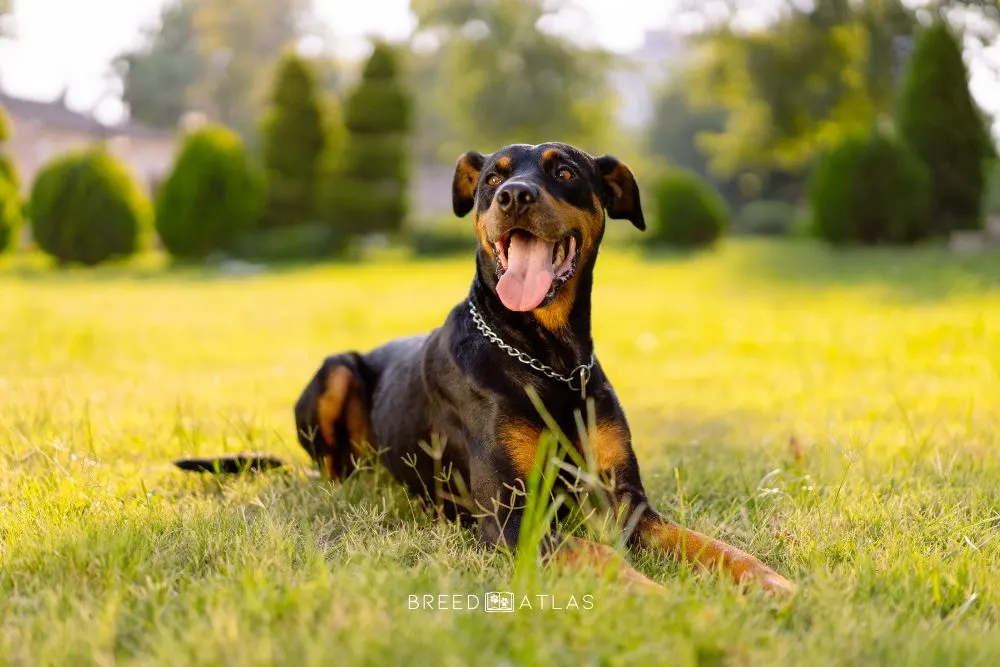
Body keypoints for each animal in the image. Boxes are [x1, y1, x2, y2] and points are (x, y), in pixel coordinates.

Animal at [176, 142, 792, 596]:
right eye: (492, 180)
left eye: (565, 171)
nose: (515, 195)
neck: (548, 360)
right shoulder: (511, 518)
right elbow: (599, 555)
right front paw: (660, 598)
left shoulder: (628, 502)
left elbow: (709, 544)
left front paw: (768, 581)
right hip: (337, 370)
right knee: (333, 471)